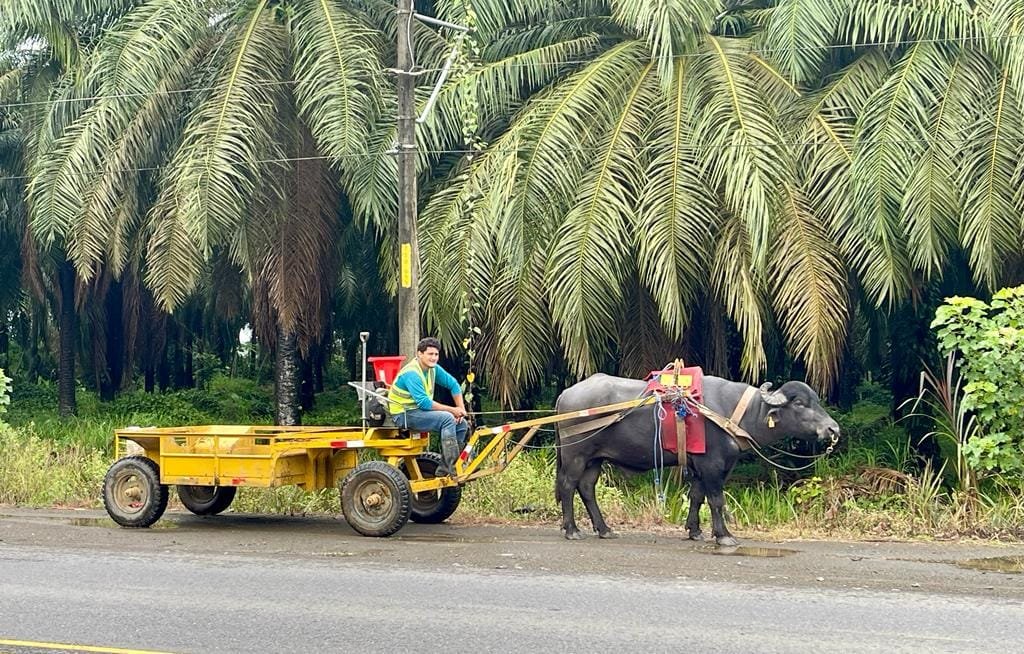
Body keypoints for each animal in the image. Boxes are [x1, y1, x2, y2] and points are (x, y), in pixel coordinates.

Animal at [561, 372, 839, 548]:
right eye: (800, 403)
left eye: (816, 401)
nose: (833, 429)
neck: (738, 412)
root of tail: (566, 394)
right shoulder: (712, 465)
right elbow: (716, 499)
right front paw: (724, 536)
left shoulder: (702, 466)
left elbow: (697, 496)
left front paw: (695, 531)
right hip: (575, 454)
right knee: (568, 486)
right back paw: (572, 530)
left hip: (595, 458)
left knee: (586, 487)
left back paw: (604, 529)